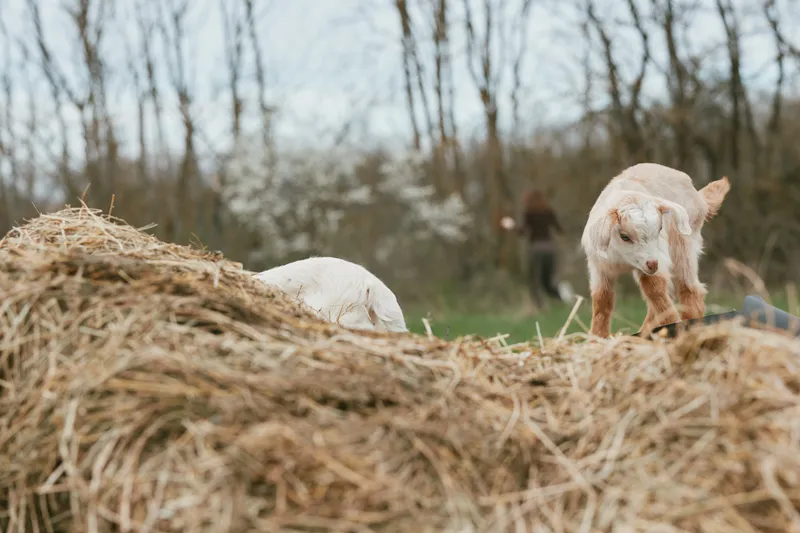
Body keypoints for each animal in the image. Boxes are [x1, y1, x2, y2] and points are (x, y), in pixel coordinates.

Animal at [581, 163, 730, 337]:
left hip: (683, 245)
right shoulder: (599, 268)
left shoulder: (658, 260)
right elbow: (602, 301)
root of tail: (700, 200)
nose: (652, 264)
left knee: (689, 290)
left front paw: (673, 326)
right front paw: (597, 337)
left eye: (659, 229)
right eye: (624, 236)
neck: (623, 260)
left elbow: (655, 290)